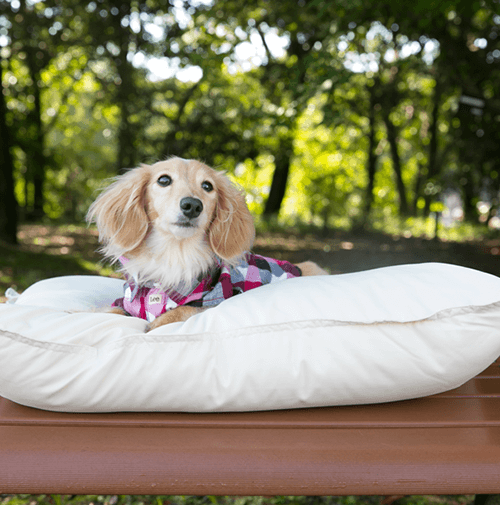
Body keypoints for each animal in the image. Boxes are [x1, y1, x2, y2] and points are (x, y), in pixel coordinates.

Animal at [87, 158, 328, 330]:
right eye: (163, 180)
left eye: (207, 186)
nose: (192, 205)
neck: (174, 254)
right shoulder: (127, 302)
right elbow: (110, 311)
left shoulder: (213, 299)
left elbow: (183, 311)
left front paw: (158, 322)